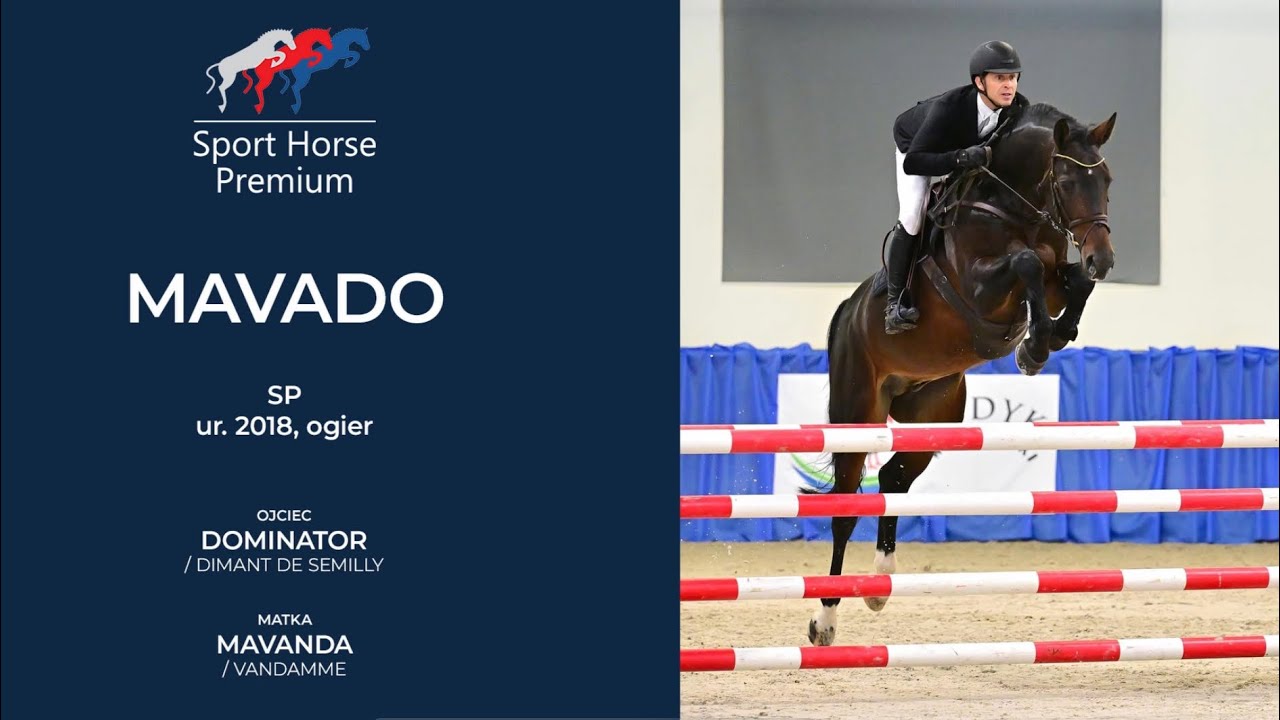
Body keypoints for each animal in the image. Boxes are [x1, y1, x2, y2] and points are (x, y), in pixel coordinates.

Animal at [808, 103, 1117, 647]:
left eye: (1106, 180)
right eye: (1066, 180)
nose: (1103, 258)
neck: (1015, 208)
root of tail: (848, 310)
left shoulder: (1054, 277)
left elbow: (1070, 279)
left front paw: (1050, 339)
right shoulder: (981, 289)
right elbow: (1026, 262)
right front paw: (1035, 347)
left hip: (934, 413)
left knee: (894, 477)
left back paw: (881, 583)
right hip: (857, 410)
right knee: (844, 506)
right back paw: (825, 619)